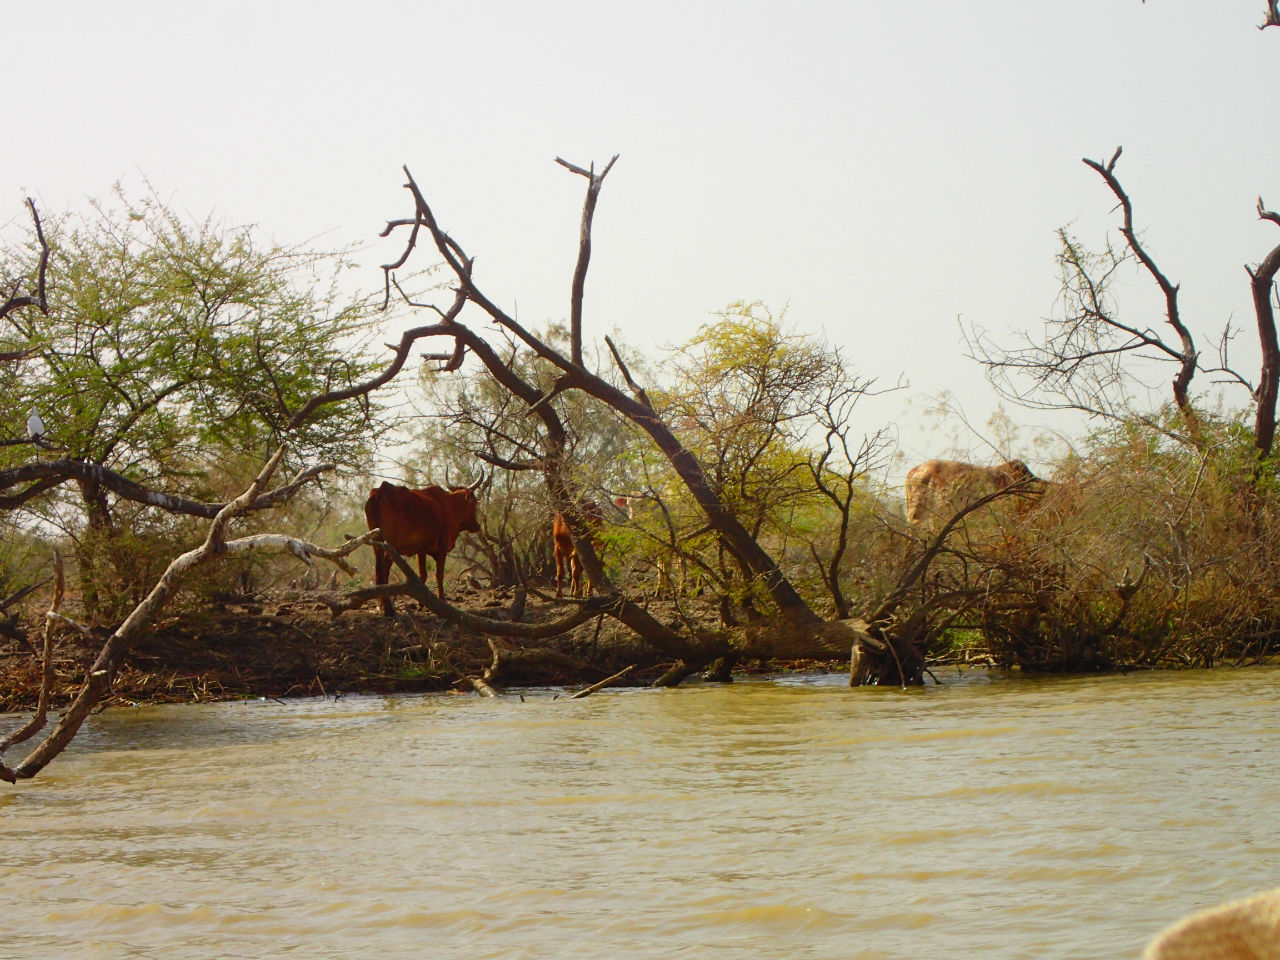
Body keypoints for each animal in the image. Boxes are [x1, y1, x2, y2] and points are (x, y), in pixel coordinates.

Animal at [366, 473, 483, 616]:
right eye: (474, 502)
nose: (477, 525)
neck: (448, 505)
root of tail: (380, 491)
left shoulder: (421, 550)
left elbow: (423, 575)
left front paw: (421, 604)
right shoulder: (442, 547)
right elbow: (439, 575)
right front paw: (442, 600)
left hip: (377, 543)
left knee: (378, 570)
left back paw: (381, 606)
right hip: (390, 546)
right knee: (384, 570)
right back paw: (388, 608)